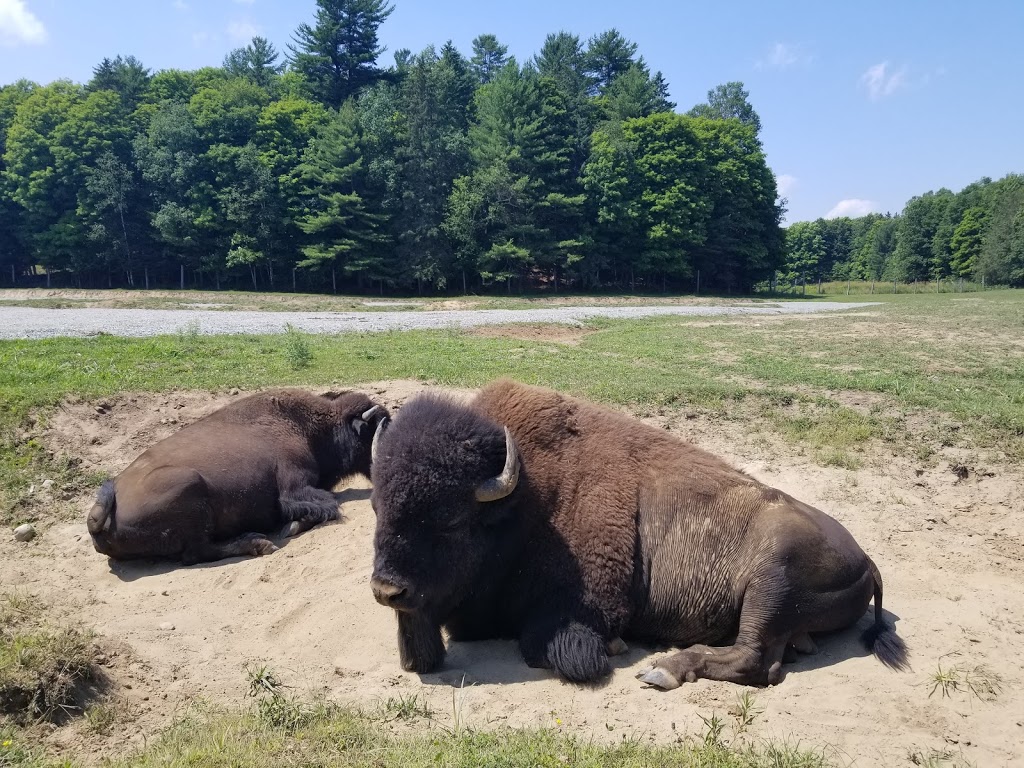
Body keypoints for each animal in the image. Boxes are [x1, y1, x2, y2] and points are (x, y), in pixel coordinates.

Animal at [87, 391, 387, 565]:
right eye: (375, 428)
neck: (308, 427)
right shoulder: (295, 487)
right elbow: (327, 505)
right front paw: (290, 527)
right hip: (189, 486)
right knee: (196, 553)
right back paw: (258, 543)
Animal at [366, 382, 905, 688]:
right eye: (377, 507)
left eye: (451, 520)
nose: (386, 589)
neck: (524, 502)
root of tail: (869, 560)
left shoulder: (583, 609)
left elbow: (558, 650)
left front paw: (616, 649)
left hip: (771, 582)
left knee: (753, 659)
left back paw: (663, 670)